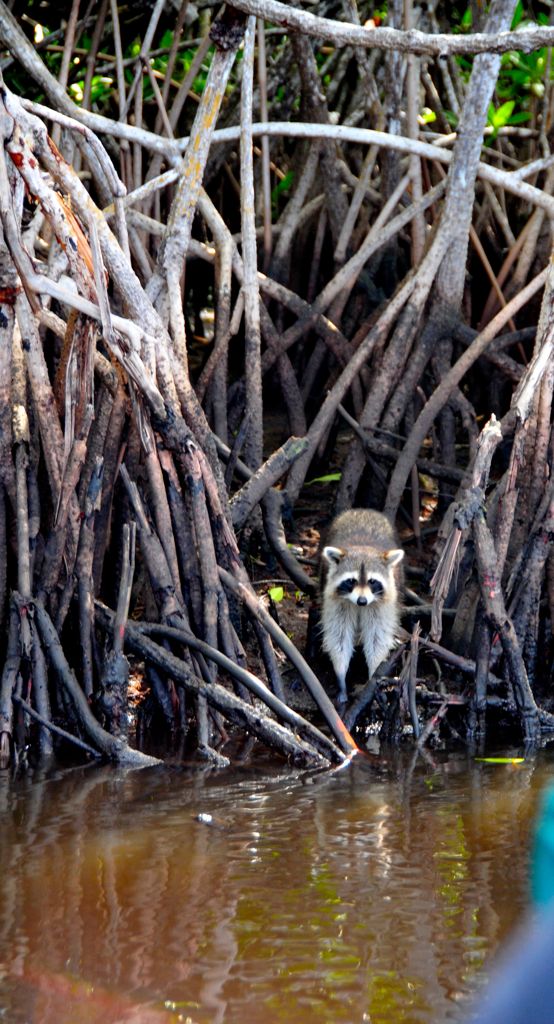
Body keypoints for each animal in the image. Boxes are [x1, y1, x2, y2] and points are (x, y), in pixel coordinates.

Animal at [319, 508, 404, 704]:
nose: (362, 601)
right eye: (351, 581)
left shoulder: (381, 603)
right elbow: (339, 636)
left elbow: (377, 637)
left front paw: (373, 673)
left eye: (372, 581)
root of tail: (364, 510)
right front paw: (341, 674)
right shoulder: (337, 601)